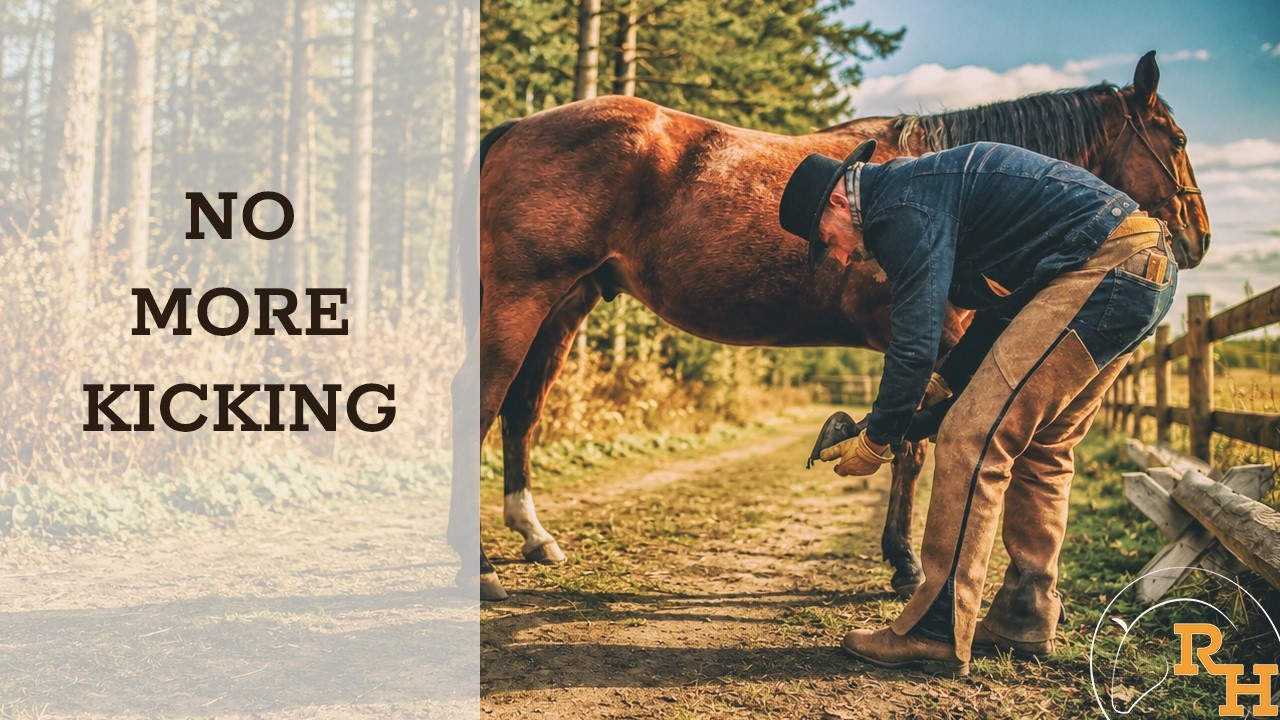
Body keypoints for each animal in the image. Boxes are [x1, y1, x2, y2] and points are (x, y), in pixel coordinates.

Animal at [460, 51, 1209, 601]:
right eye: (1175, 138)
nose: (1198, 238)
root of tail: (516, 128)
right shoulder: (931, 330)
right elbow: (913, 441)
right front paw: (906, 564)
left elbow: (909, 435)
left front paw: (900, 556)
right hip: (522, 298)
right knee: (484, 409)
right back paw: (483, 569)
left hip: (567, 305)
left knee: (521, 415)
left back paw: (534, 537)